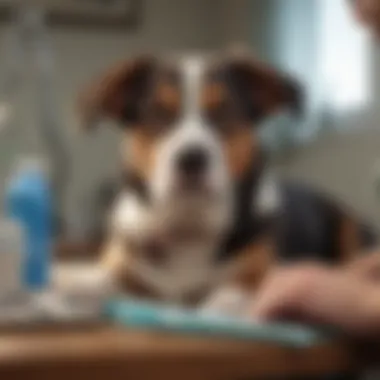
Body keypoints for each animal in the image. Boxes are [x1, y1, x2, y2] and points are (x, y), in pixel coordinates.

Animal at [78, 51, 378, 314]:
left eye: (224, 112)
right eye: (157, 113)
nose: (192, 159)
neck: (190, 225)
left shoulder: (260, 274)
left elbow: (228, 295)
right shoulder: (123, 265)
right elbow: (99, 280)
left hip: (350, 228)